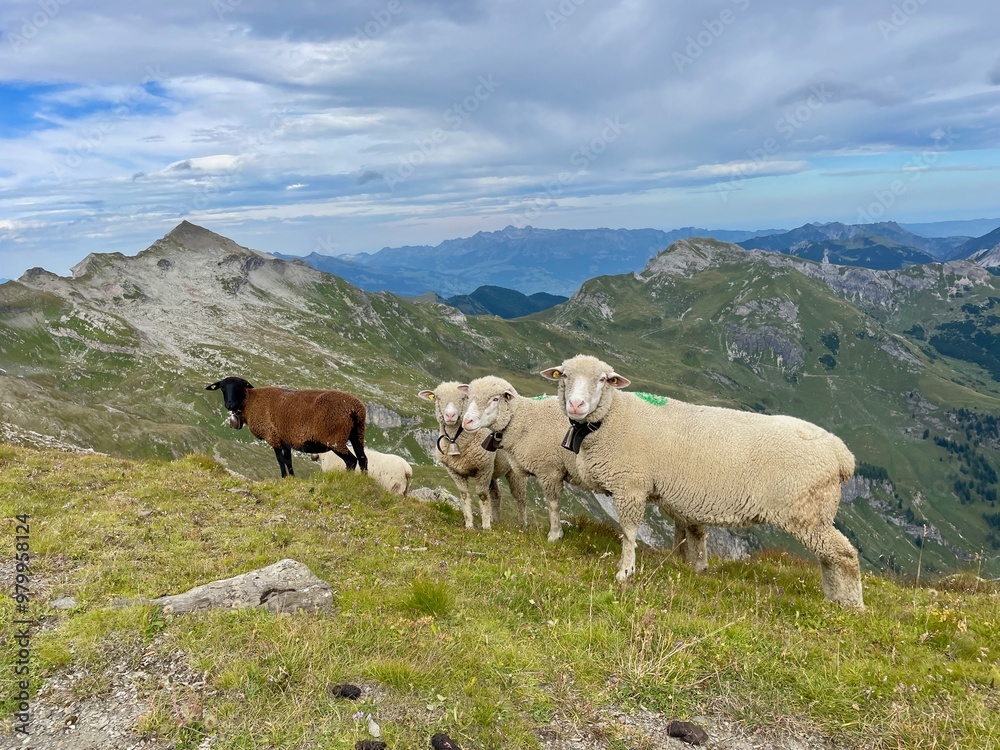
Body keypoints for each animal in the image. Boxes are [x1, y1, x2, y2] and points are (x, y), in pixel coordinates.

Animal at [206, 376, 368, 479]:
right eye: (222, 388)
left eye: (240, 386)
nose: (230, 404)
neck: (250, 401)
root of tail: (354, 408)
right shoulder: (285, 438)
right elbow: (288, 460)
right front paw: (292, 477)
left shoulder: (273, 436)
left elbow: (280, 460)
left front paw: (284, 477)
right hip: (357, 433)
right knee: (363, 459)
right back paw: (363, 480)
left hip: (335, 438)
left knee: (351, 461)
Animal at [418, 381, 527, 530]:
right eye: (437, 398)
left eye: (464, 398)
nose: (450, 415)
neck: (457, 440)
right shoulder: (455, 472)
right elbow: (464, 496)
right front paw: (469, 525)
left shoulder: (483, 468)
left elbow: (482, 496)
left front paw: (486, 526)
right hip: (492, 472)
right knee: (496, 494)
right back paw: (496, 520)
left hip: (514, 472)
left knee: (520, 498)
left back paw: (523, 525)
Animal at [458, 376, 597, 542]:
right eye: (468, 397)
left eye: (495, 399)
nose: (467, 421)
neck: (525, 418)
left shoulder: (549, 469)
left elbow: (553, 504)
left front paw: (554, 535)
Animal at [539, 354, 863, 608]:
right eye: (564, 375)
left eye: (603, 380)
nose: (576, 404)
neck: (611, 418)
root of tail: (841, 453)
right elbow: (688, 537)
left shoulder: (630, 485)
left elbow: (630, 533)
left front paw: (625, 572)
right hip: (814, 514)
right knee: (828, 557)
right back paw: (833, 598)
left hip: (807, 512)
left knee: (844, 554)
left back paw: (853, 605)